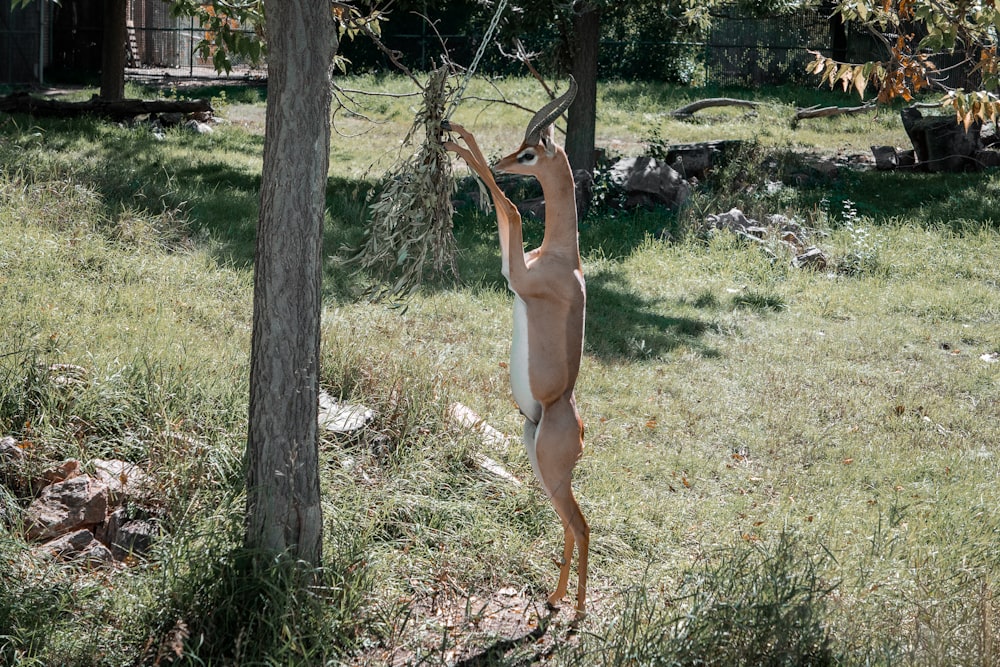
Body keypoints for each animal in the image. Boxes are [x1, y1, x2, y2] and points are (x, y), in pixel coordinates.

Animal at [444, 78, 588, 616]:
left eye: (529, 153)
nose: (507, 160)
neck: (564, 259)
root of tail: (578, 428)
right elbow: (506, 210)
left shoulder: (517, 278)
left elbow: (507, 206)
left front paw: (456, 140)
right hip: (538, 461)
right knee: (569, 523)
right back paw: (555, 598)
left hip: (551, 467)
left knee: (581, 524)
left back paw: (577, 612)